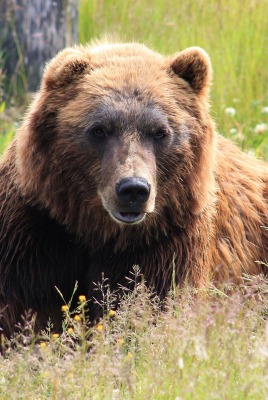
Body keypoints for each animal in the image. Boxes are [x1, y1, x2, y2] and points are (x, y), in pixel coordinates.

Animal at [0, 39, 266, 334]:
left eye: (160, 131)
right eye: (100, 129)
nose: (134, 189)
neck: (95, 229)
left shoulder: (166, 238)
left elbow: (148, 306)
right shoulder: (36, 227)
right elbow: (23, 306)